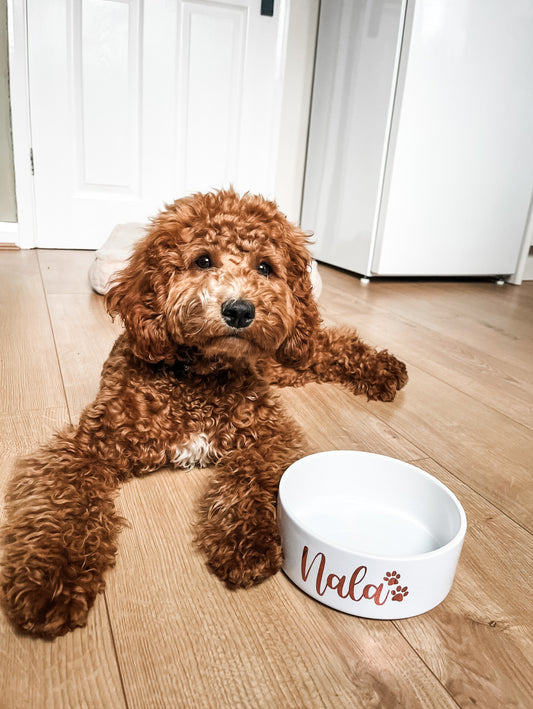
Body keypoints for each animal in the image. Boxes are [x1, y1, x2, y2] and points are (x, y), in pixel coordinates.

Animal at [1, 188, 408, 636]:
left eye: (265, 267)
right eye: (203, 260)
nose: (240, 310)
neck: (200, 376)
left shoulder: (270, 435)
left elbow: (248, 478)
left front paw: (247, 543)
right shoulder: (86, 447)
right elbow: (63, 507)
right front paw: (50, 579)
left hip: (288, 351)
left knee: (327, 341)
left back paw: (384, 369)